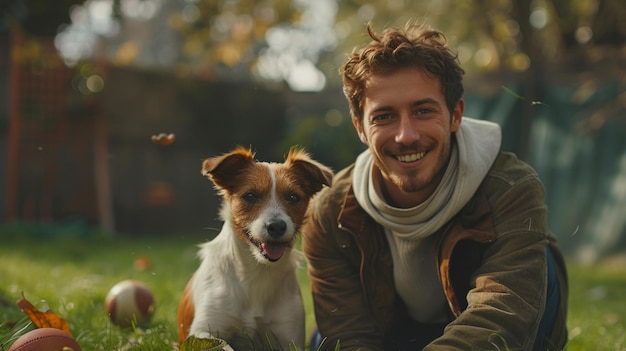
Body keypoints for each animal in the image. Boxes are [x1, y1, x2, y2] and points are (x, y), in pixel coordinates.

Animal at [176, 145, 332, 350]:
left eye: (293, 197)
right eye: (250, 196)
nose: (277, 226)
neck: (257, 272)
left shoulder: (289, 336)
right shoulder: (203, 332)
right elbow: (223, 345)